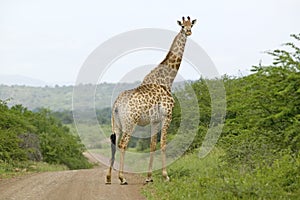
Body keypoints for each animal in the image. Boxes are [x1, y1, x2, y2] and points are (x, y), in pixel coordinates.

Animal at [105, 16, 197, 185]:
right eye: (182, 26)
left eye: (191, 25)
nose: (188, 31)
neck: (166, 80)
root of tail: (116, 105)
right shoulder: (167, 115)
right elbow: (163, 143)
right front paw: (166, 176)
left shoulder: (154, 120)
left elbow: (153, 144)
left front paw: (149, 177)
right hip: (130, 122)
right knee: (123, 144)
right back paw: (122, 178)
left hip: (117, 124)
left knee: (114, 144)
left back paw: (108, 178)